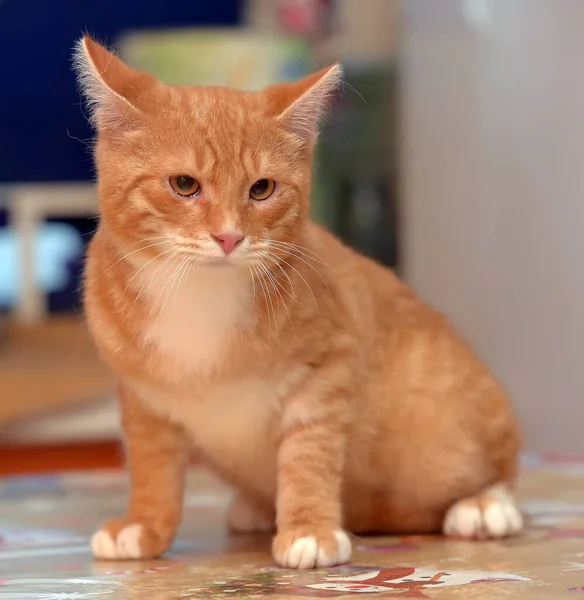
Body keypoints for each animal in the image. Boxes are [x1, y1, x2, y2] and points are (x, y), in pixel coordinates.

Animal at [75, 35, 524, 568]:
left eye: (262, 188)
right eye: (184, 184)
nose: (229, 237)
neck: (199, 295)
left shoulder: (328, 365)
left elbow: (309, 451)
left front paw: (309, 528)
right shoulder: (141, 393)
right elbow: (151, 464)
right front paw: (143, 525)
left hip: (457, 425)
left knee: (498, 464)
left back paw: (485, 505)